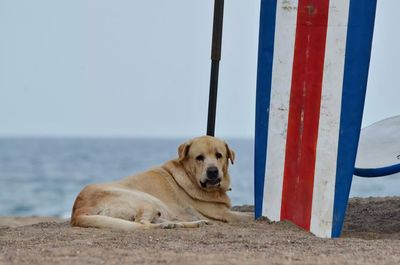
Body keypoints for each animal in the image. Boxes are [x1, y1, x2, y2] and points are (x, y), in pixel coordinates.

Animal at [71, 135, 253, 228]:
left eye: (219, 155)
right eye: (199, 157)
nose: (213, 171)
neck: (189, 176)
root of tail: (77, 210)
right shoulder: (223, 214)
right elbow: (247, 216)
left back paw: (187, 224)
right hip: (146, 199)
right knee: (142, 224)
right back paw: (167, 226)